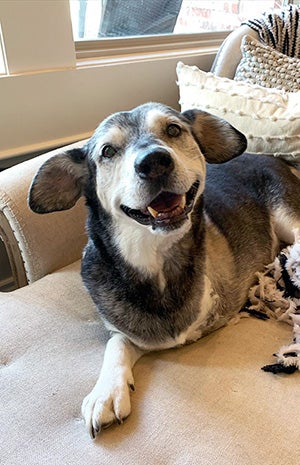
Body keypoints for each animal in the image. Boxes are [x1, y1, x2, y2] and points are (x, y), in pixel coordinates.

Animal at [28, 99, 300, 436]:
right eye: (107, 151)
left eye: (173, 129)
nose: (154, 161)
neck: (154, 255)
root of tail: (271, 158)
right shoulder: (130, 332)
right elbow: (117, 343)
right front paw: (106, 393)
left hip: (289, 216)